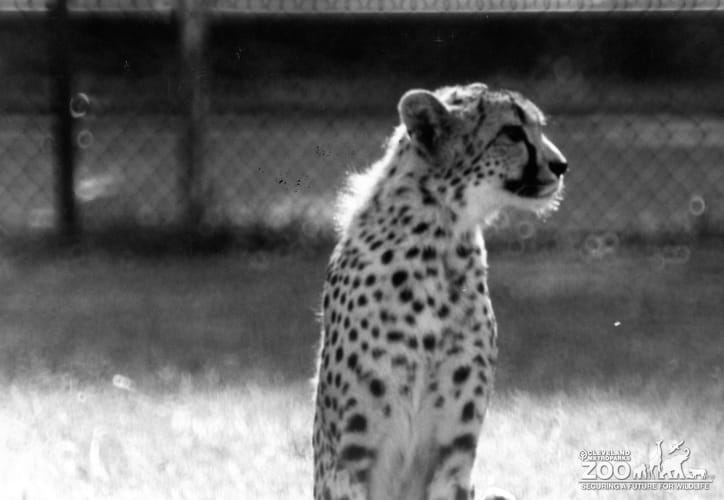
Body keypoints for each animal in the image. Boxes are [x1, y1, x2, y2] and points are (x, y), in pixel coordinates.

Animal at [312, 82, 568, 500]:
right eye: (512, 132)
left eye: (538, 127)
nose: (561, 165)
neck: (440, 242)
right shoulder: (346, 461)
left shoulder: (453, 458)